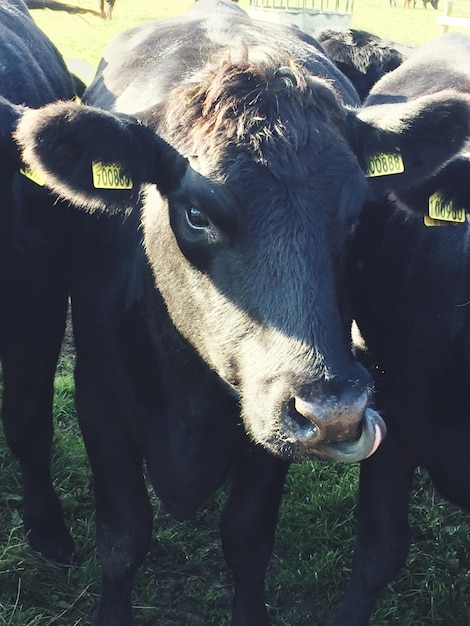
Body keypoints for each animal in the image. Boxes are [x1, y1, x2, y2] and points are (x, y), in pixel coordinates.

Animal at [13, 2, 470, 620]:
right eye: (196, 213)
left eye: (359, 215)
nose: (335, 411)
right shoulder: (98, 394)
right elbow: (123, 537)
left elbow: (248, 539)